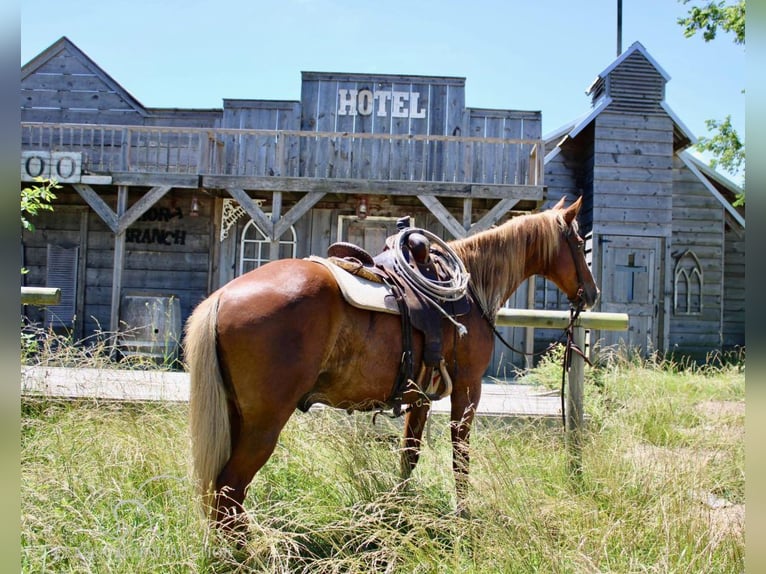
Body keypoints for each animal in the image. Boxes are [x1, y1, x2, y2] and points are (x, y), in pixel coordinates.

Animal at [184, 197, 600, 532]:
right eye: (580, 243)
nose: (592, 294)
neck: (470, 291)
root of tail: (221, 297)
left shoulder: (420, 397)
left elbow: (408, 455)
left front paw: (399, 507)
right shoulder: (468, 388)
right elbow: (460, 455)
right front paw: (462, 513)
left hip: (236, 415)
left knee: (222, 494)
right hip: (264, 423)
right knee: (229, 490)